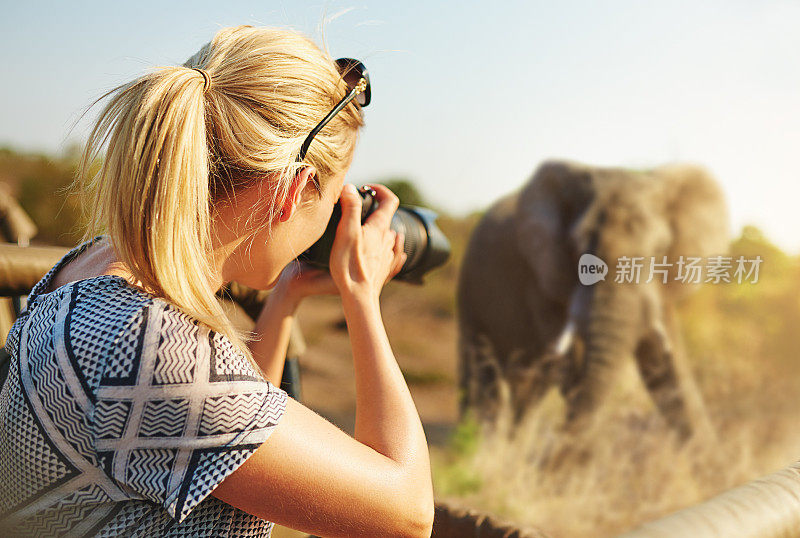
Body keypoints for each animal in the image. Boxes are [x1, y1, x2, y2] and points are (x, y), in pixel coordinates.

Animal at [456, 159, 724, 440]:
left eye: (661, 250)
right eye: (576, 245)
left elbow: (666, 366)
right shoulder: (543, 280)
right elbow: (573, 367)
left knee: (527, 395)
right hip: (469, 298)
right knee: (483, 384)